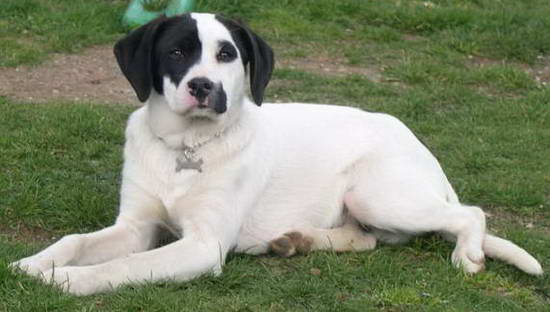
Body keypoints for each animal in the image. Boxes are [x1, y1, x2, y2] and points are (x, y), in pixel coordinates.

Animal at [10, 12, 544, 294]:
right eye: (176, 52)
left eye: (227, 54)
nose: (203, 87)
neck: (187, 148)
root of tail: (420, 147)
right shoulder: (136, 225)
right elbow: (75, 240)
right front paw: (36, 263)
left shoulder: (202, 245)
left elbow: (122, 267)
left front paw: (69, 281)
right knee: (365, 239)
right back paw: (296, 241)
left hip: (378, 194)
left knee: (470, 214)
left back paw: (467, 256)